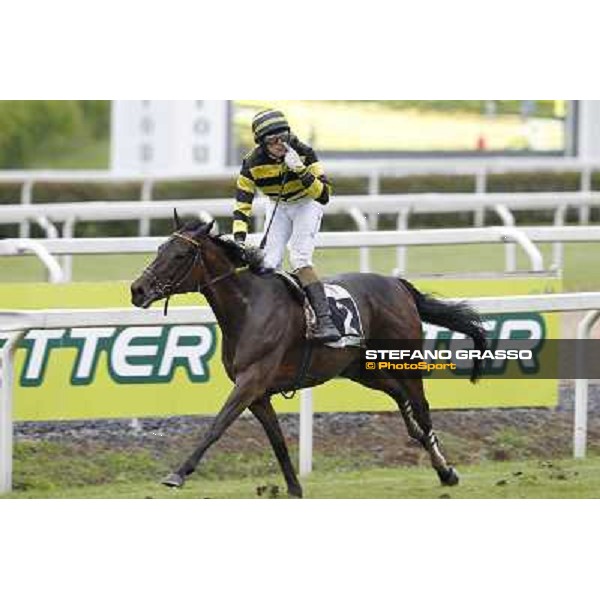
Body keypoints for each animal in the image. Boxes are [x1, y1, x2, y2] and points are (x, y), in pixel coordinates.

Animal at [131, 216, 488, 496]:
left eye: (179, 255)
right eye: (159, 249)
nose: (137, 290)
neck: (248, 307)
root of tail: (398, 285)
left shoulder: (250, 381)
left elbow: (217, 425)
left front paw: (178, 474)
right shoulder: (259, 393)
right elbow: (276, 440)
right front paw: (293, 488)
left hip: (404, 359)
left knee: (422, 409)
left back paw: (446, 470)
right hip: (363, 369)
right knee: (402, 399)